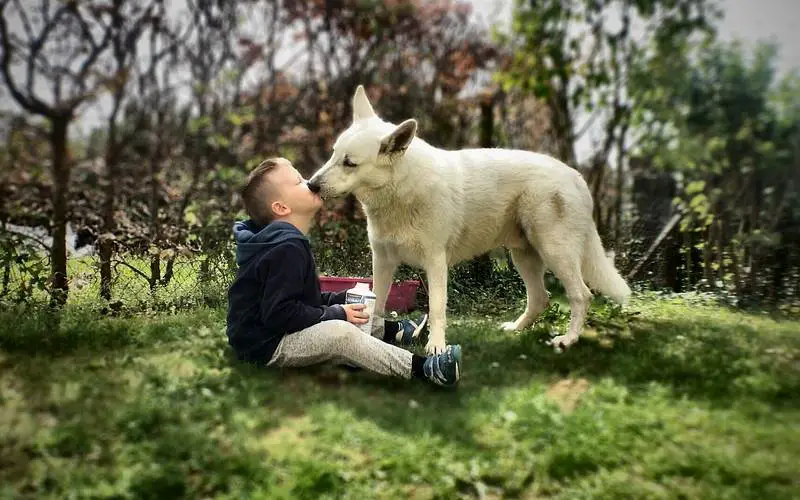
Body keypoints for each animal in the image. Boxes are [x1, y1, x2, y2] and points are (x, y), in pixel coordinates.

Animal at [308, 86, 632, 354]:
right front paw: (371, 335)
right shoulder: (383, 259)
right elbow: (378, 303)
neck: (401, 190)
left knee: (582, 295)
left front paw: (436, 347)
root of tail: (576, 176)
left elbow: (437, 309)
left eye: (350, 163)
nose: (311, 185)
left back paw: (567, 340)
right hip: (524, 256)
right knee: (541, 298)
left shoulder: (435, 262)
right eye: (334, 155)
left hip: (555, 253)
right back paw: (516, 330)